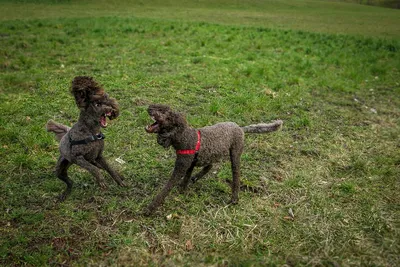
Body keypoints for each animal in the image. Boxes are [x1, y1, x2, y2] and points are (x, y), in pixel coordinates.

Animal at [144, 104, 284, 216]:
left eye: (163, 111)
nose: (149, 107)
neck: (184, 137)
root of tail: (240, 128)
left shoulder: (181, 166)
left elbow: (166, 189)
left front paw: (150, 209)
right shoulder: (191, 163)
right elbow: (186, 177)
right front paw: (183, 188)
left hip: (235, 155)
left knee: (236, 176)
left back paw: (234, 199)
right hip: (212, 154)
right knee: (209, 166)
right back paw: (197, 177)